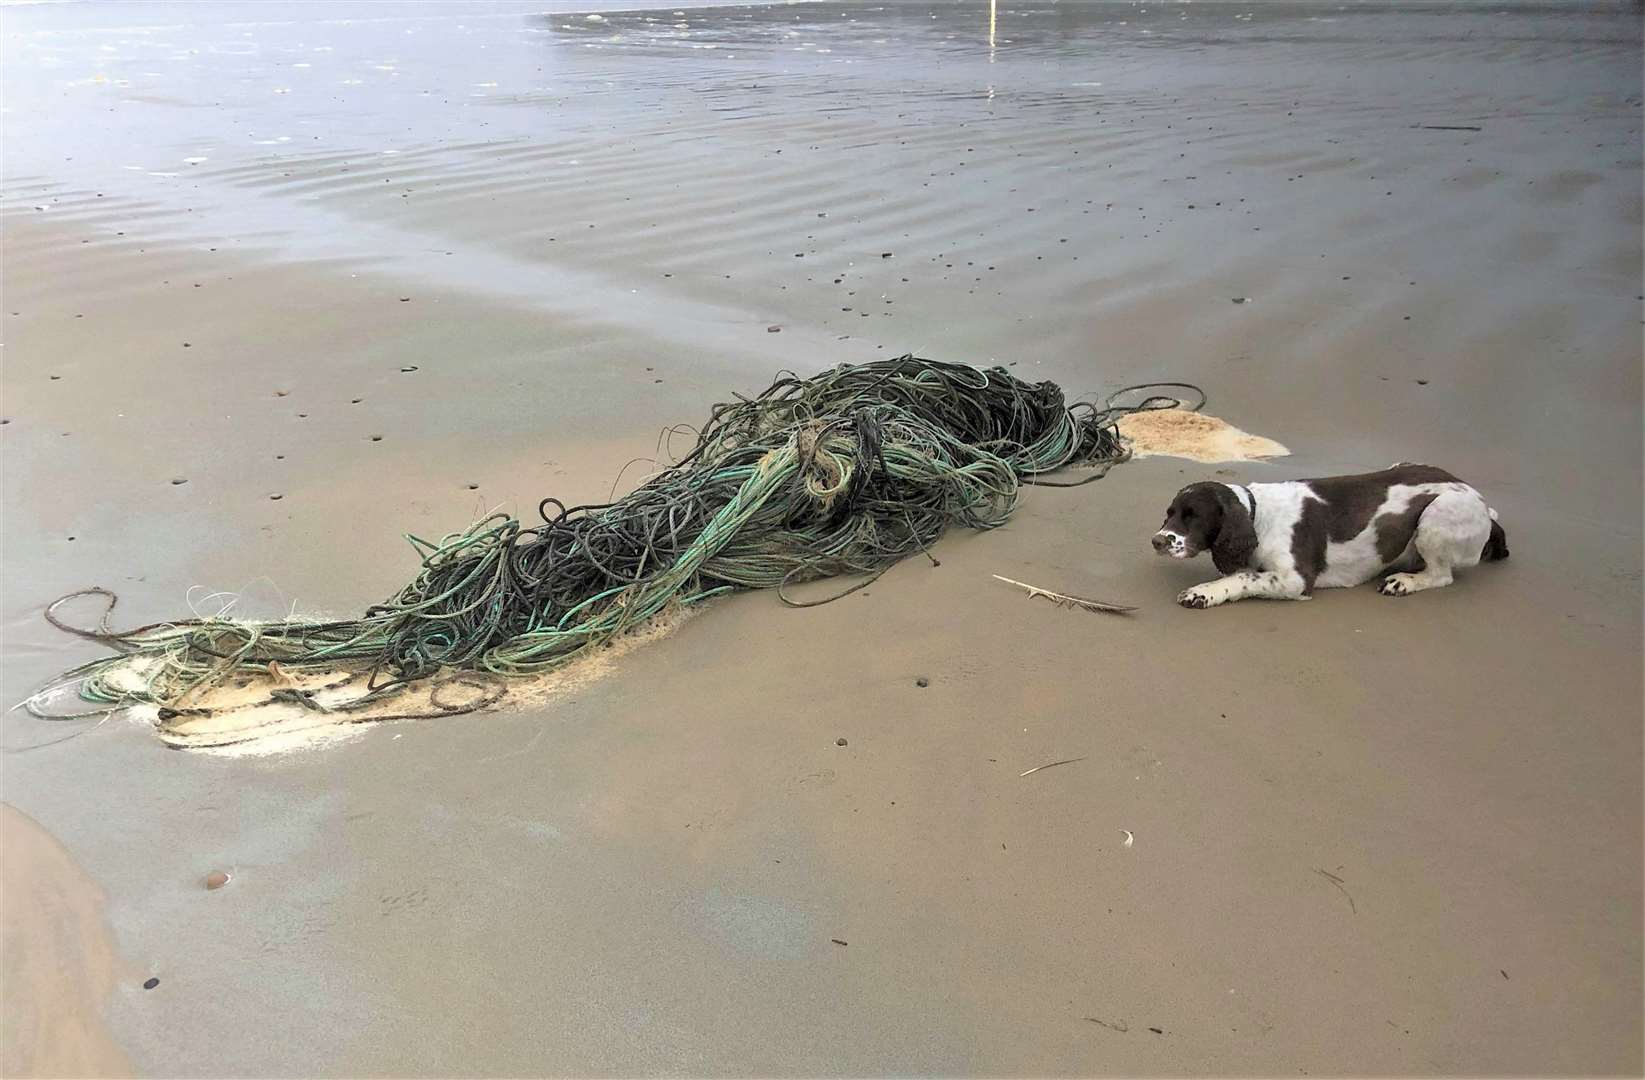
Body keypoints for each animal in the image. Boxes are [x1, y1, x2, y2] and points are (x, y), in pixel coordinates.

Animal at [1151, 463, 1506, 604]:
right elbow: (1242, 573)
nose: (1157, 541)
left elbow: (1243, 578)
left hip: (1439, 512)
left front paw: (1202, 592)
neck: (1257, 513)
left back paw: (1404, 581)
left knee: (1441, 575)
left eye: (1193, 517)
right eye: (1170, 513)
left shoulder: (1294, 579)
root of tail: (1483, 505)